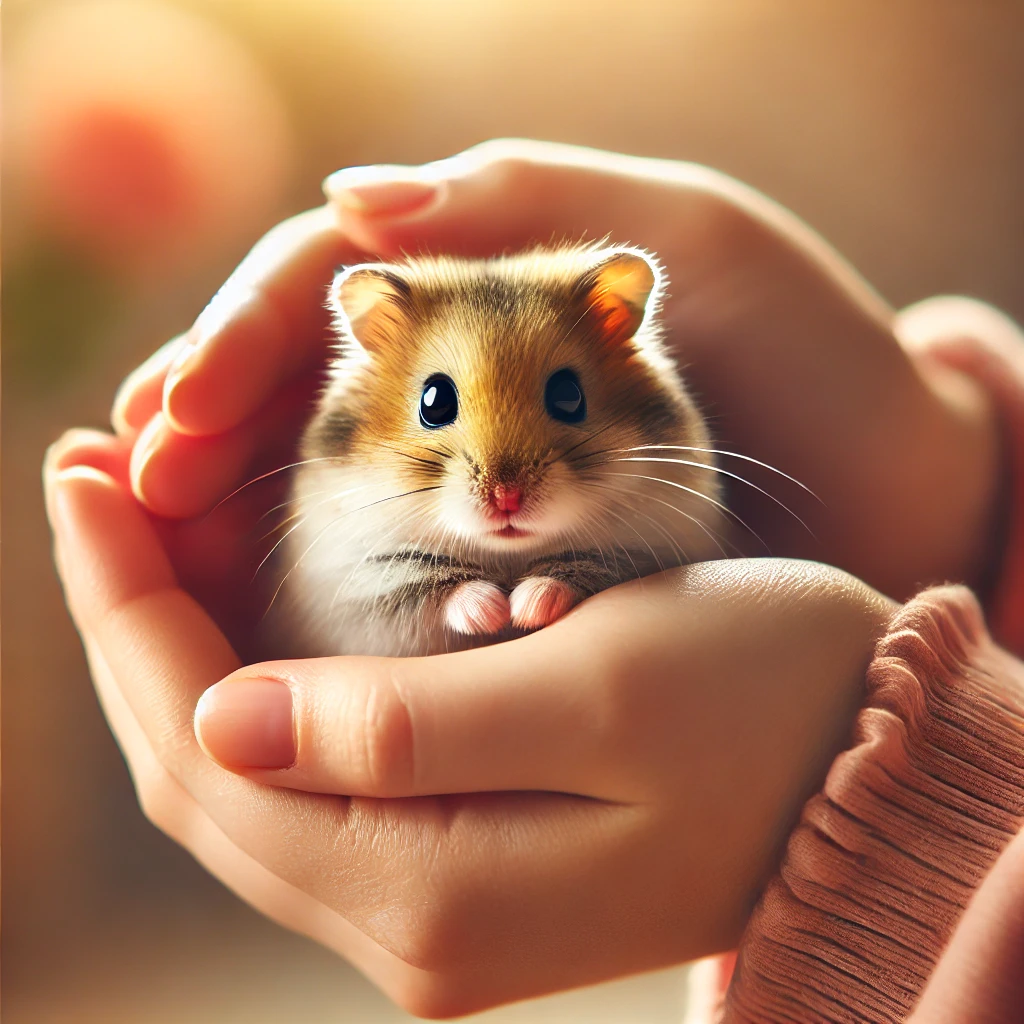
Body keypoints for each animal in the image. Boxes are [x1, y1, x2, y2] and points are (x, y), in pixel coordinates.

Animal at [268, 241, 724, 655]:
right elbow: (428, 584)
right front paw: (492, 611)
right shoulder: (356, 583)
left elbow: (579, 568)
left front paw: (524, 608)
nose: (507, 498)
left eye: (568, 396)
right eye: (433, 401)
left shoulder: (647, 550)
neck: (505, 554)